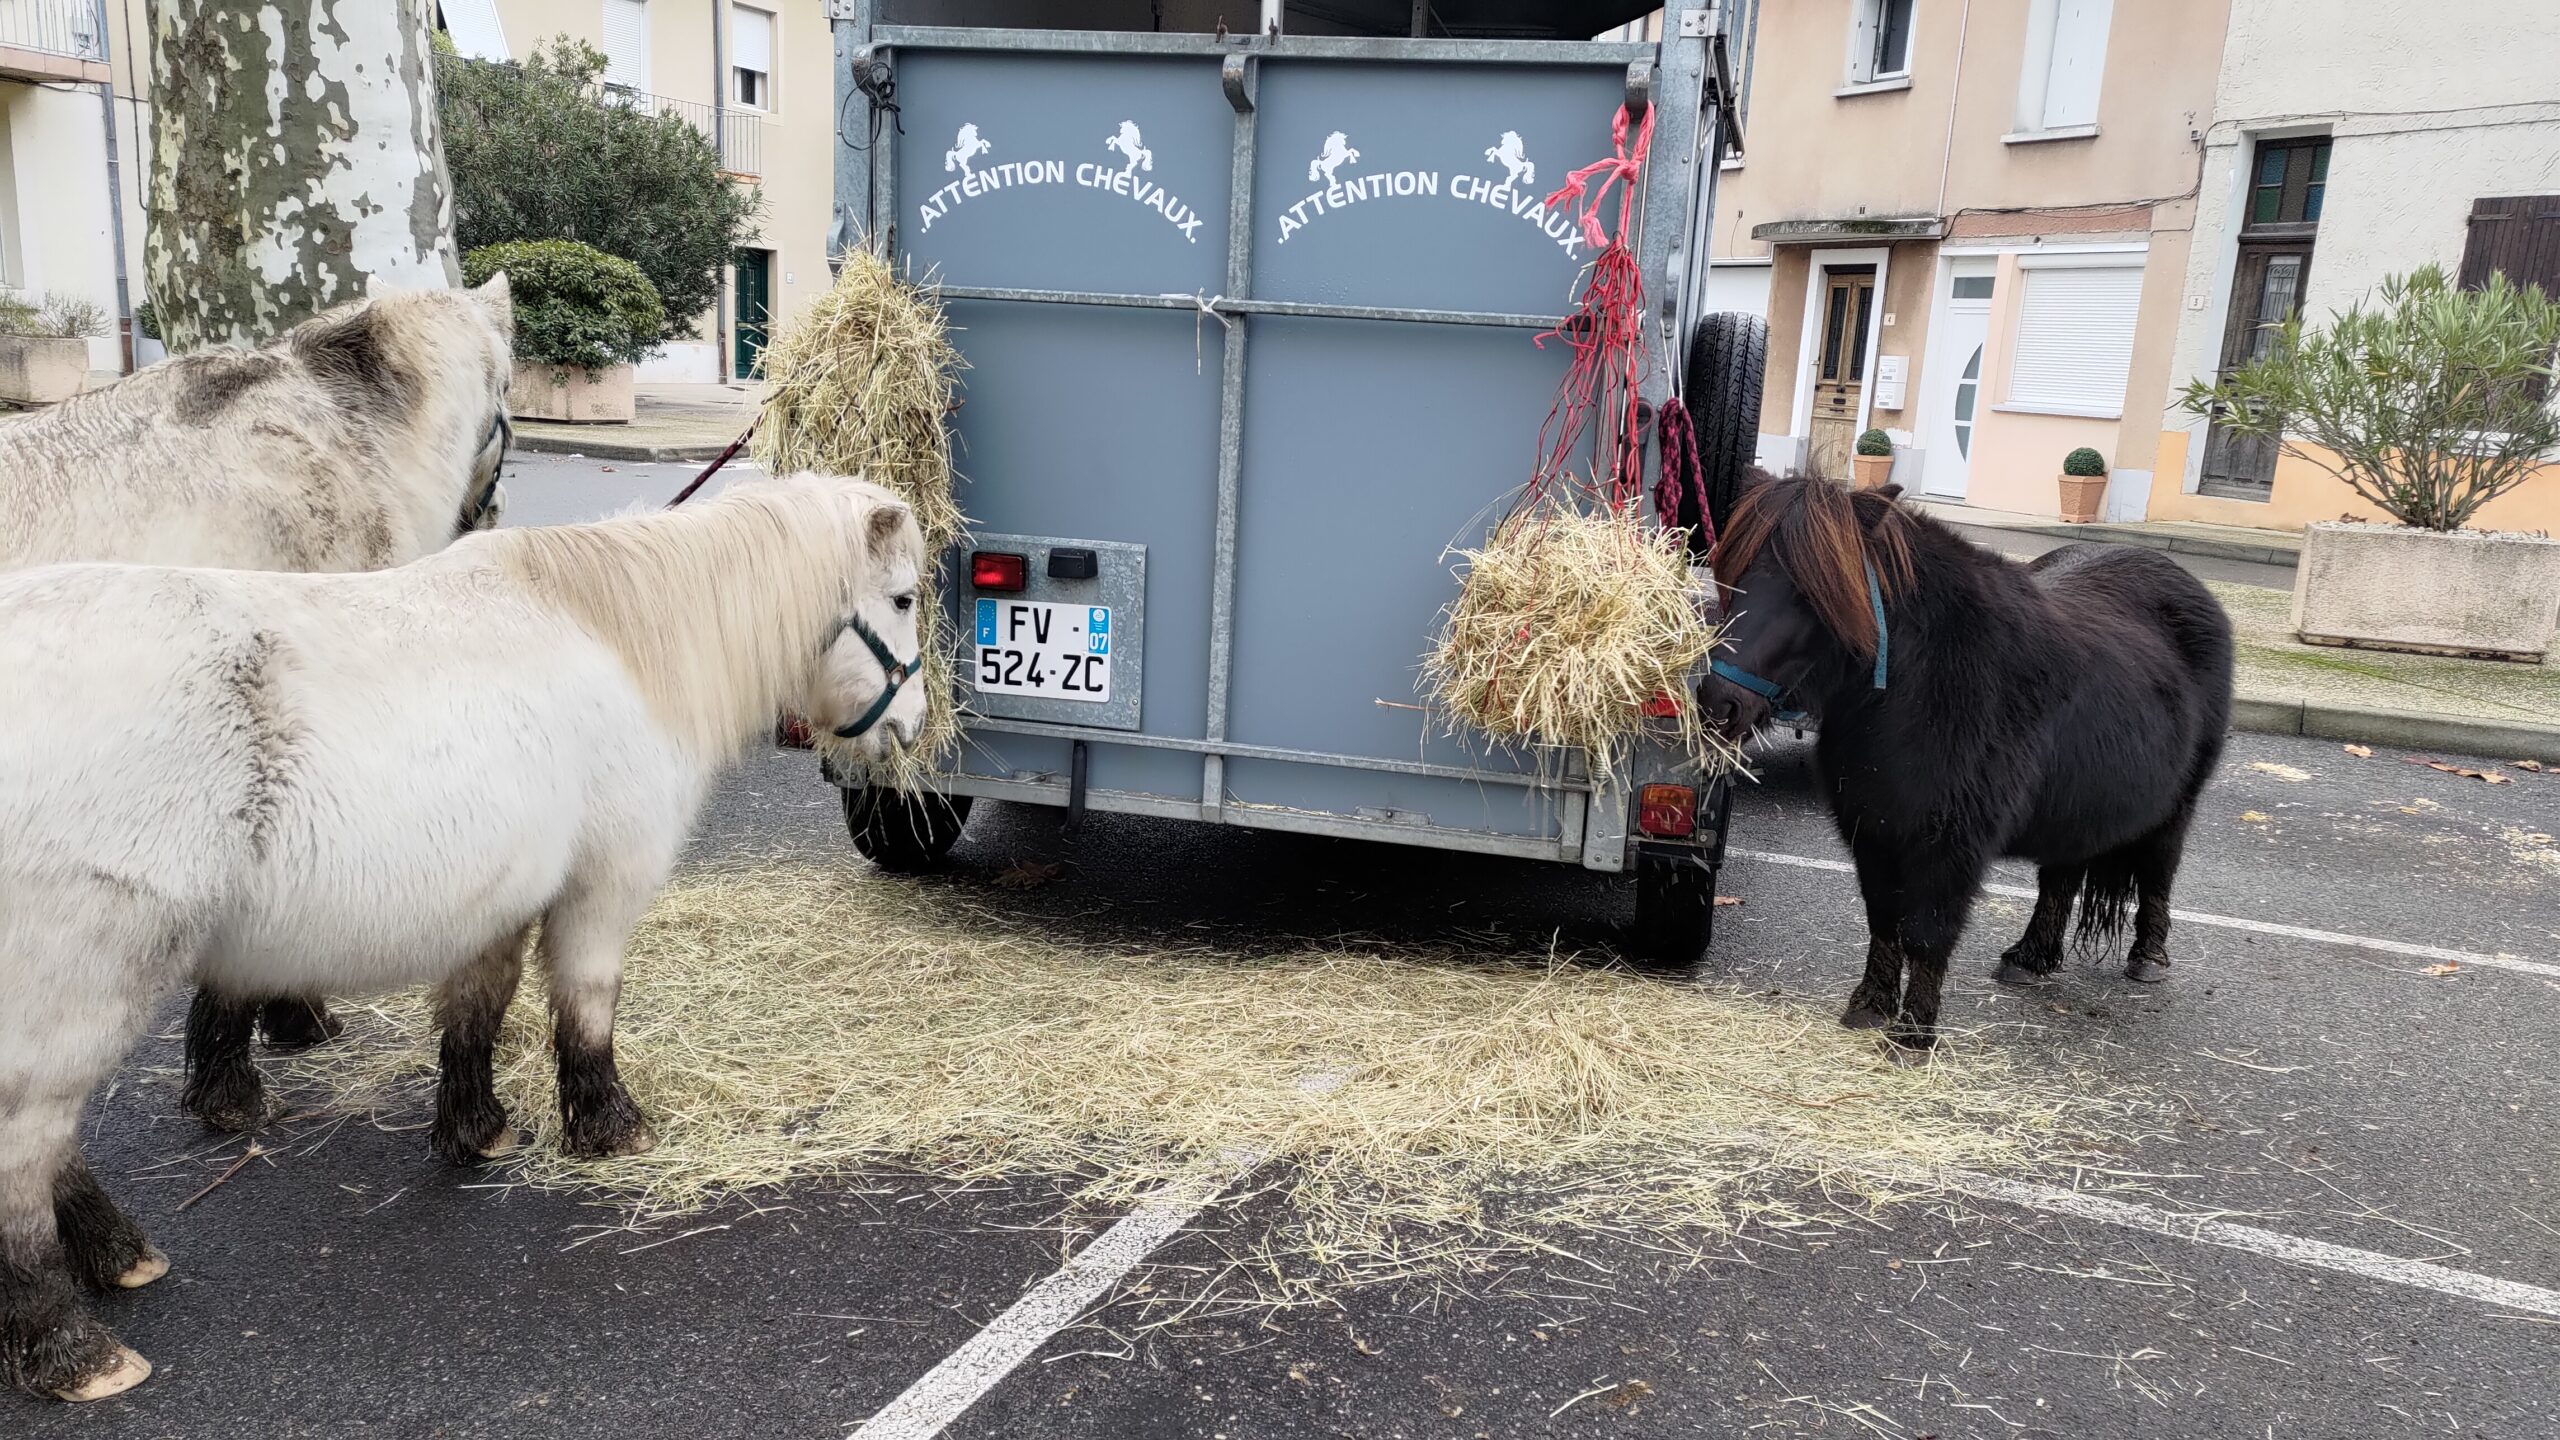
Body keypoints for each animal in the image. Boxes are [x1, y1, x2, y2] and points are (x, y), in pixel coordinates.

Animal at [0, 474, 927, 1401]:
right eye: (905, 599)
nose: (913, 728)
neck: (611, 632)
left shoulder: (503, 898)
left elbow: (478, 1007)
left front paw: (477, 1129)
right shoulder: (602, 889)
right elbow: (586, 1007)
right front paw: (608, 1127)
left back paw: (116, 1255)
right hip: (81, 984)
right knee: (25, 1148)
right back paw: (76, 1348)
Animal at [1698, 475, 2233, 1060]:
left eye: (1810, 591)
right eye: (1737, 576)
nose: (1718, 703)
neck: (1922, 687)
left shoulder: (1951, 844)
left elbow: (1928, 930)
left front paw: (1913, 1034)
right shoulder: (1873, 830)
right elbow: (1883, 919)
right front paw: (1869, 1007)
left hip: (2176, 808)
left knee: (2159, 870)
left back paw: (2147, 959)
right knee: (2061, 876)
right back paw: (2030, 958)